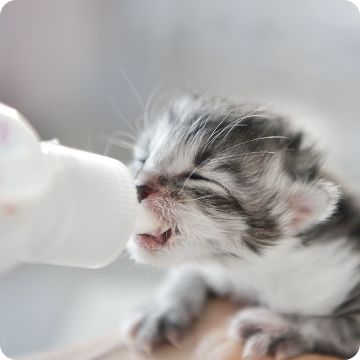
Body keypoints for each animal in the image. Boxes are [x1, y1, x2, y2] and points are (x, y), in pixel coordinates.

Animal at [124, 93, 360, 358]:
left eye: (198, 177)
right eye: (143, 159)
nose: (138, 186)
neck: (249, 267)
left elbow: (340, 327)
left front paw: (280, 327)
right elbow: (190, 271)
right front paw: (163, 308)